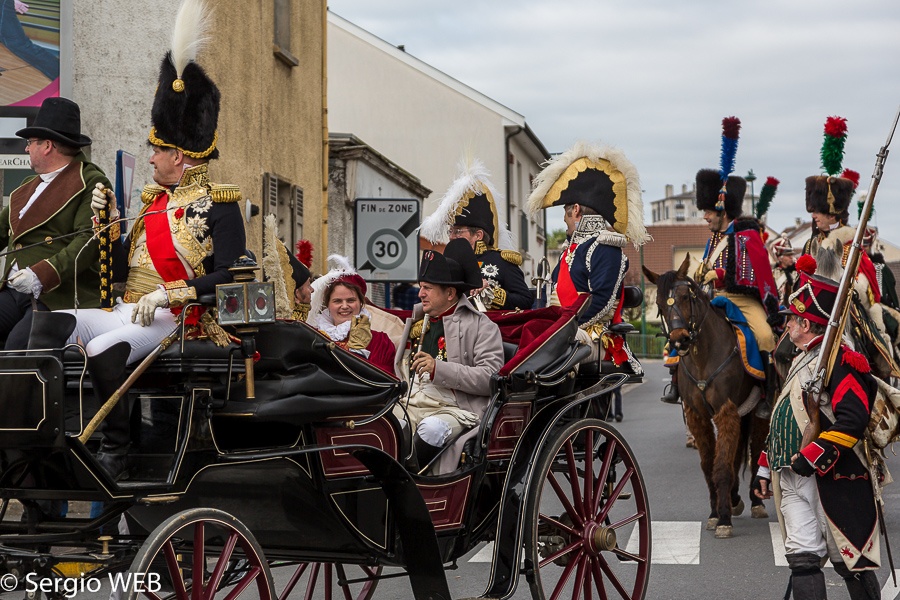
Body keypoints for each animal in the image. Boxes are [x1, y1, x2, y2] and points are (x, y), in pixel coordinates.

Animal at [644, 255, 768, 536]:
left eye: (684, 296)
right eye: (660, 303)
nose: (679, 340)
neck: (703, 356)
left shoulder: (725, 410)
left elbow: (721, 465)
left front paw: (723, 519)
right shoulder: (698, 415)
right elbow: (710, 463)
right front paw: (716, 512)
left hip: (758, 413)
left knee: (755, 451)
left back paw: (755, 501)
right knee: (736, 454)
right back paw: (734, 498)